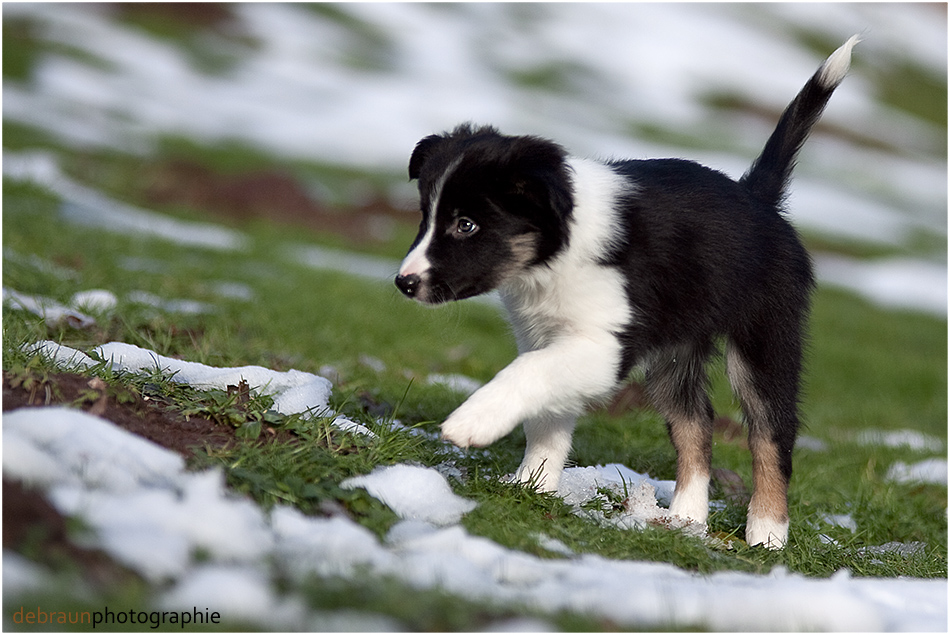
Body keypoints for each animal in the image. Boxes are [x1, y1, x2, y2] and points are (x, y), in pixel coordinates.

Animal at [394, 37, 864, 548]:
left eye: (466, 225)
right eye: (425, 215)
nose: (404, 282)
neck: (555, 256)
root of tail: (758, 198)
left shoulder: (603, 344)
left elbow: (526, 373)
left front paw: (472, 423)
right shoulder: (546, 335)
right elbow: (546, 414)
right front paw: (533, 485)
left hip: (764, 339)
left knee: (772, 435)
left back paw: (767, 533)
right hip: (676, 350)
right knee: (696, 423)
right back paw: (686, 519)